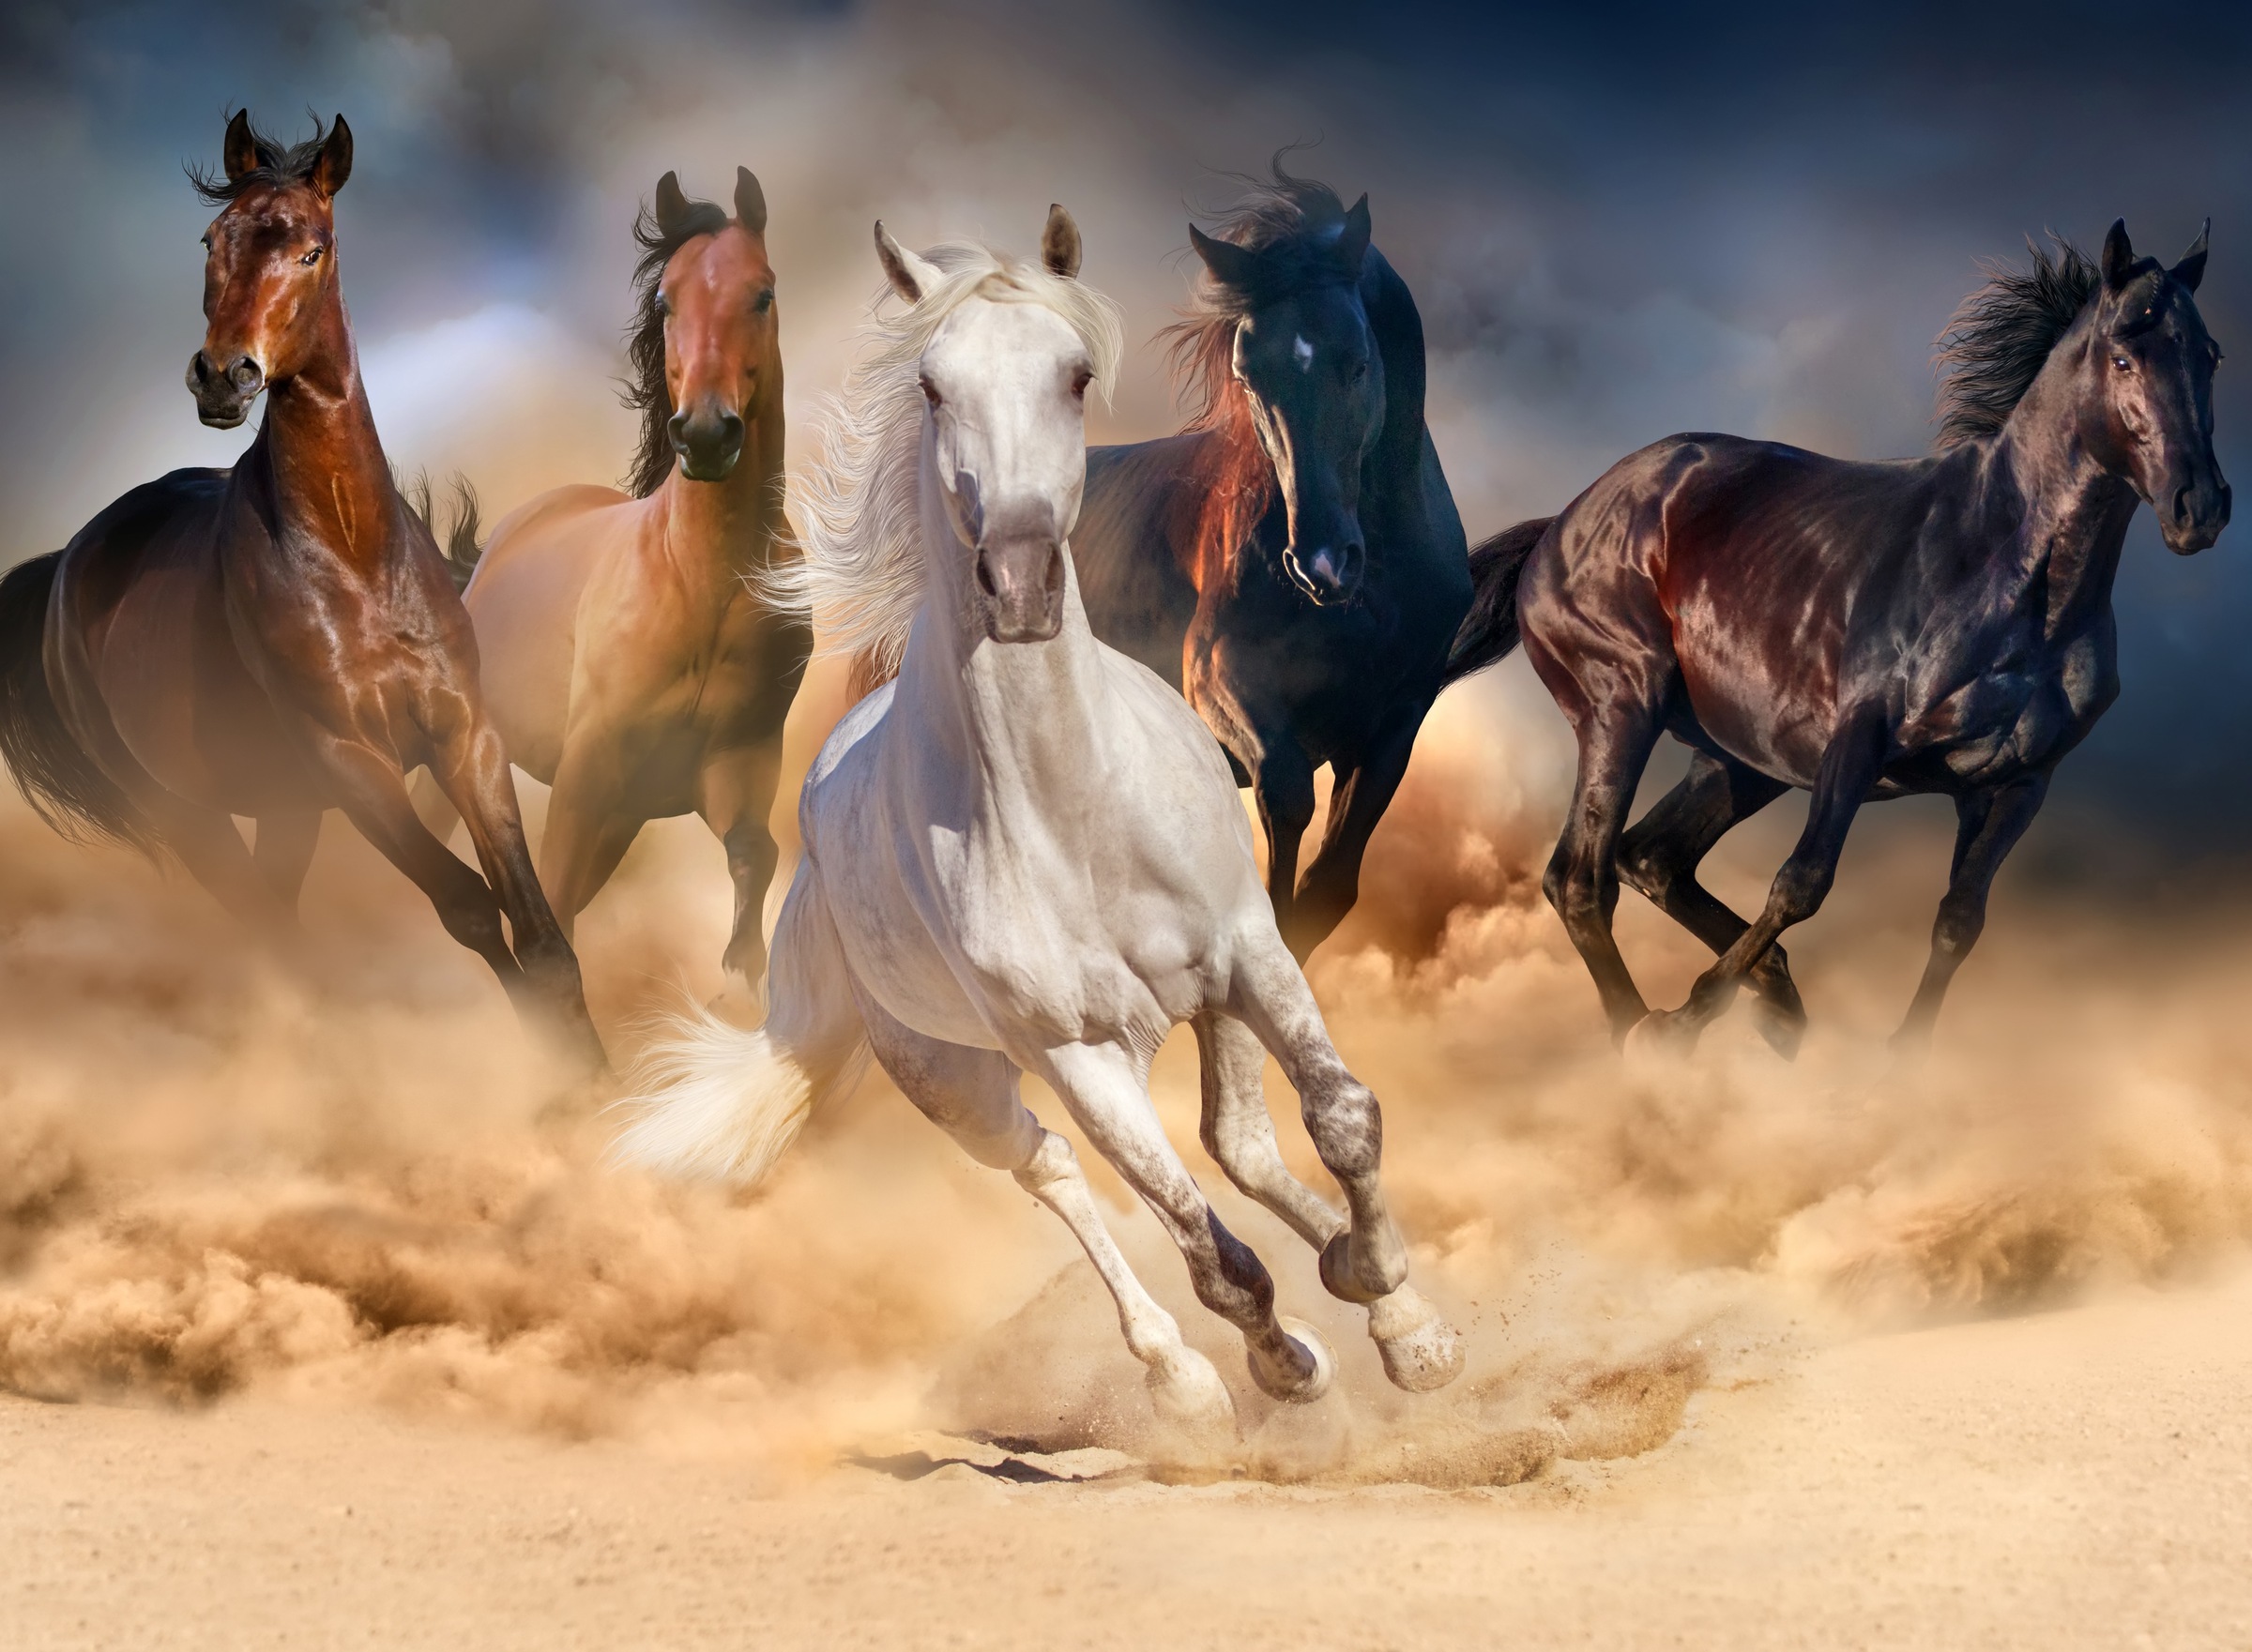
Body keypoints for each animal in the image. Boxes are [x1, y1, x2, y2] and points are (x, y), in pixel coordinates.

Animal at [0, 112, 604, 1069]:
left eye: (312, 249)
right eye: (212, 239)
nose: (223, 376)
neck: (354, 556)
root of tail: (66, 565)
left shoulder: (466, 736)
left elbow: (539, 930)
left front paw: (597, 1081)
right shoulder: (349, 761)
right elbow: (470, 907)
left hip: (283, 810)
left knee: (278, 919)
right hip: (188, 815)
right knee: (271, 933)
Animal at [424, 168, 805, 985]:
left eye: (761, 294)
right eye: (666, 300)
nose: (705, 433)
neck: (701, 584)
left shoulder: (732, 766)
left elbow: (756, 854)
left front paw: (741, 977)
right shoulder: (588, 772)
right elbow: (552, 907)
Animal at [1048, 169, 1475, 961]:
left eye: (1357, 363)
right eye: (1248, 376)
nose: (1322, 564)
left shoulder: (1395, 723)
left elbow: (1330, 885)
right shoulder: (1220, 678)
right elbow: (1284, 796)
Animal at [1446, 221, 2229, 1056]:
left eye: (2210, 355)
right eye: (2123, 356)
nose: (2201, 506)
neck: (2010, 577)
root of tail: (1560, 523)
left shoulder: (2017, 783)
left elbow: (1959, 920)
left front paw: (1897, 1060)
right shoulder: (1859, 737)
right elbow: (1802, 882)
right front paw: (1688, 1020)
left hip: (1738, 759)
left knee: (1650, 858)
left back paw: (1777, 1003)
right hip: (1620, 707)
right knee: (1581, 878)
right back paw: (1648, 1036)